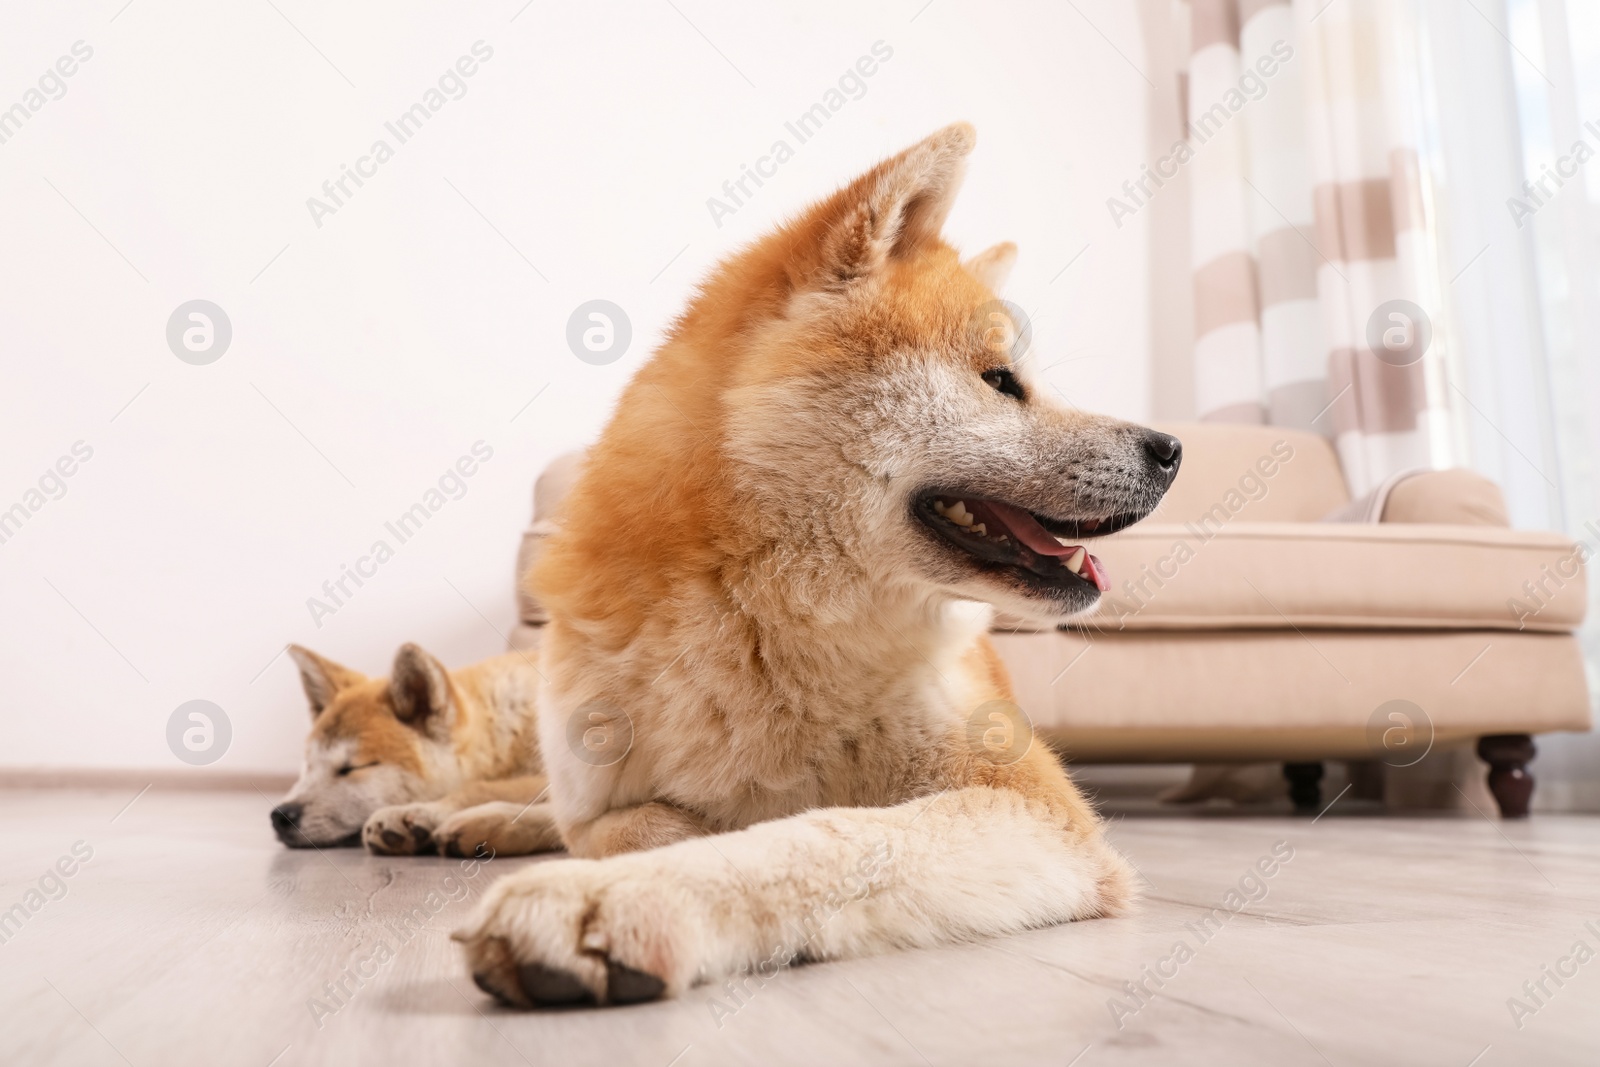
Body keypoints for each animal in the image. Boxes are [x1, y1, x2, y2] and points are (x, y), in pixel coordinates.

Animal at [444, 125, 1184, 1011]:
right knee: (544, 806)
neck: (771, 624)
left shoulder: (1035, 807)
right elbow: (622, 824)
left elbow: (819, 832)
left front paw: (622, 896)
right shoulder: (600, 790)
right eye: (1001, 380)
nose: (1172, 449)